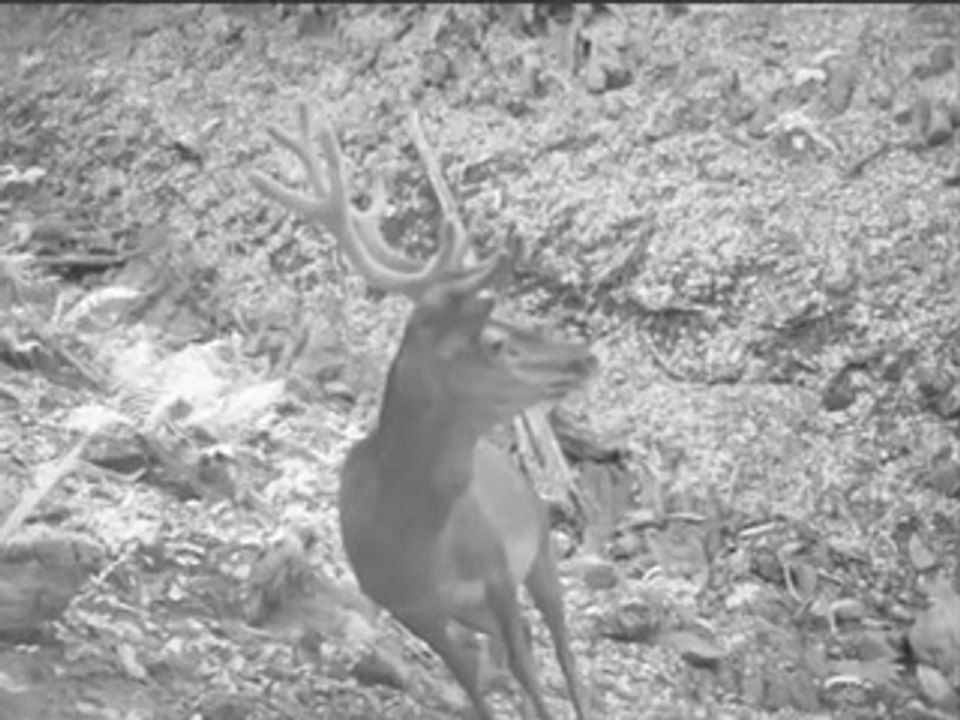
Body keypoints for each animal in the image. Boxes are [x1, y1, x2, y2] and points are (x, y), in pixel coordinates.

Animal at [250, 102, 595, 720]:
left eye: (513, 320)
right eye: (495, 341)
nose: (584, 356)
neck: (419, 540)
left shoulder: (498, 573)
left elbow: (530, 671)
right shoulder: (408, 607)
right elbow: (478, 690)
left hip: (538, 543)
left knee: (561, 648)